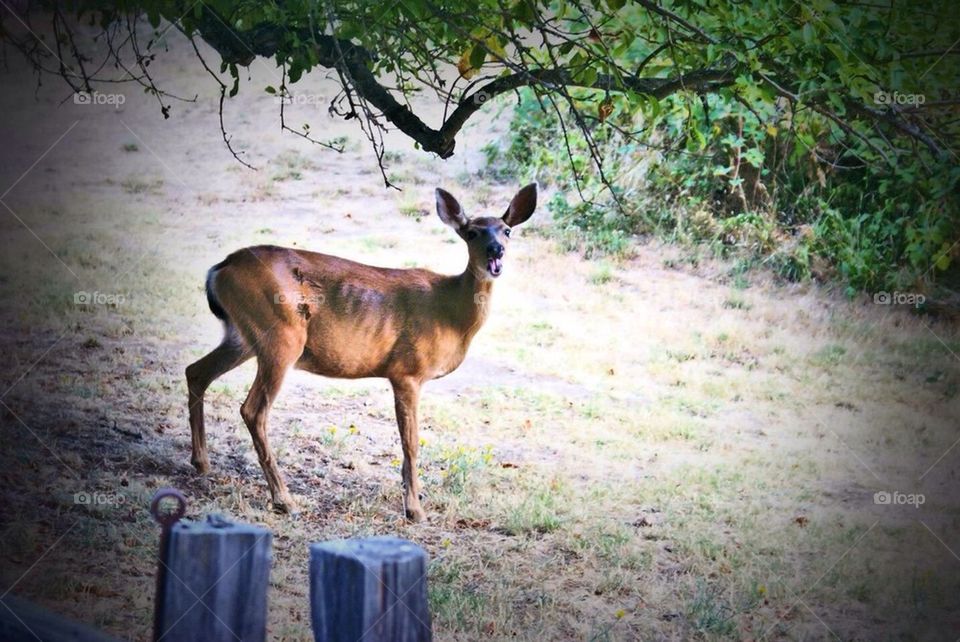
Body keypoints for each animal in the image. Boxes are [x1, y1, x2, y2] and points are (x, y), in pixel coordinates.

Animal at [186, 184, 537, 521]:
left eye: (507, 230)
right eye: (472, 232)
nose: (496, 250)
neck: (451, 313)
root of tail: (219, 269)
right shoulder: (407, 371)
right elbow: (411, 442)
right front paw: (415, 510)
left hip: (243, 336)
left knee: (196, 371)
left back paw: (201, 462)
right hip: (281, 337)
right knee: (253, 410)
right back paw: (284, 500)